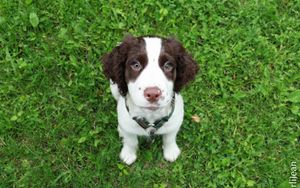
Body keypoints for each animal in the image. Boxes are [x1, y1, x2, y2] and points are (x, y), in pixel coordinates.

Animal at [102, 35, 198, 164]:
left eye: (168, 66)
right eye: (136, 65)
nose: (152, 94)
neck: (150, 116)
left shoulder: (175, 121)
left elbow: (170, 137)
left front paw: (171, 151)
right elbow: (131, 140)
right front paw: (128, 154)